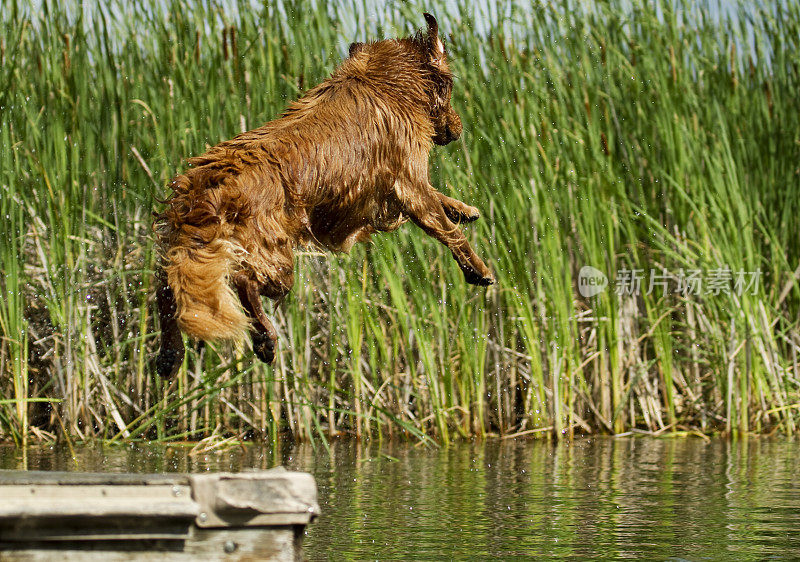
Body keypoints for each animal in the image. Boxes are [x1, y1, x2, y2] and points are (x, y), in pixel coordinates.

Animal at [155, 13, 494, 374]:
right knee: (243, 281)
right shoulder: (409, 182)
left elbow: (441, 201)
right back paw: (264, 339)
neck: (384, 83)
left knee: (167, 289)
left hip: (188, 249)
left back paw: (169, 355)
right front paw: (479, 270)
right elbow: (449, 230)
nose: (458, 129)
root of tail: (205, 188)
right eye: (450, 86)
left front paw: (463, 209)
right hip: (275, 260)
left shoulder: (397, 189)